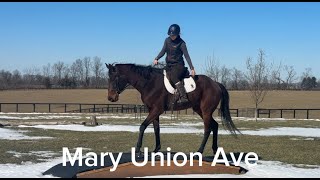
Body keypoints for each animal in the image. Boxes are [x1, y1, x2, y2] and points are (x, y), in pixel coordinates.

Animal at [105, 63, 240, 155]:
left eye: (115, 78)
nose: (111, 98)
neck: (149, 83)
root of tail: (216, 83)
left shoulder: (156, 110)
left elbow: (142, 126)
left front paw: (138, 149)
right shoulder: (153, 111)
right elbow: (156, 129)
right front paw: (156, 149)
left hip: (206, 111)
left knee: (208, 129)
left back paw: (199, 151)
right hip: (199, 110)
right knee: (215, 125)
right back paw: (215, 150)